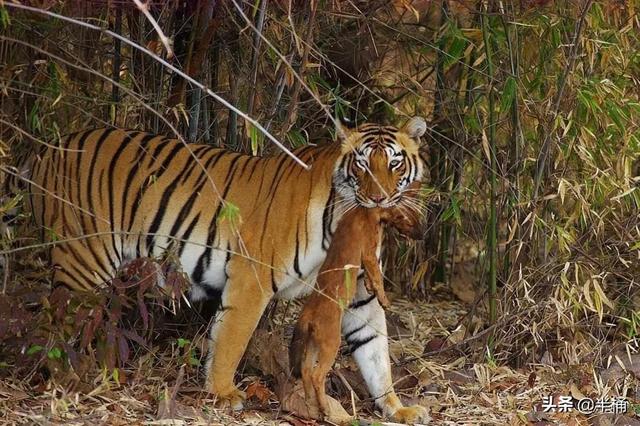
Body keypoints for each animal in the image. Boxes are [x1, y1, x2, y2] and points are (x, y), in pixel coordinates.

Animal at [10, 115, 428, 422]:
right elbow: (231, 340)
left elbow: (376, 353)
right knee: (58, 323)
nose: (379, 198)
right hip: (82, 259)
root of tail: (46, 149)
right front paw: (224, 394)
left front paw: (398, 408)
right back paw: (71, 380)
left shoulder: (359, 295)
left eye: (394, 162)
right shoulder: (251, 278)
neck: (341, 212)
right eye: (361, 162)